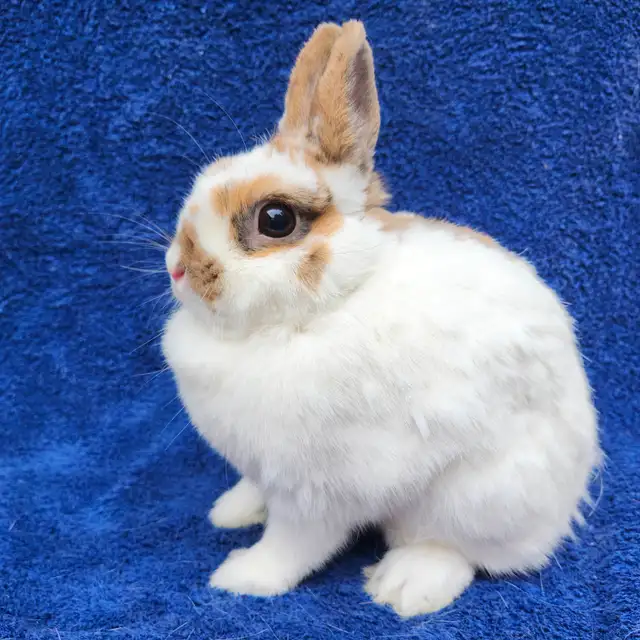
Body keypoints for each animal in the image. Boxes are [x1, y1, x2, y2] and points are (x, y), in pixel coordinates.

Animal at [161, 20, 600, 617]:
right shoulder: (270, 470)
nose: (178, 268)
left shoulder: (316, 489)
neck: (326, 304)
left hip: (474, 497)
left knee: (468, 552)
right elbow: (259, 492)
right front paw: (232, 509)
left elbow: (294, 544)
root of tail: (570, 501)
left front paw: (243, 577)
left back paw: (405, 585)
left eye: (275, 219)